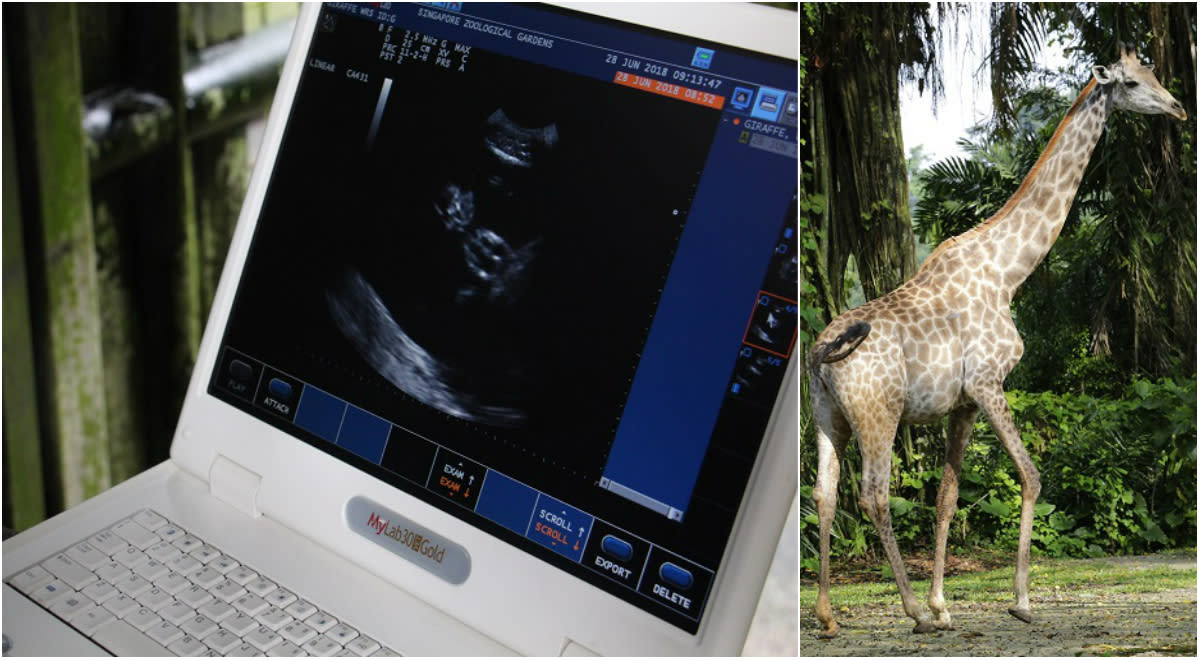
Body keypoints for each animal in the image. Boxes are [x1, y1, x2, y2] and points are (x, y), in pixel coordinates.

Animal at [811, 42, 1185, 643]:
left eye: (1151, 72)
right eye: (1130, 82)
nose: (1177, 107)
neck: (1009, 271)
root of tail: (821, 357)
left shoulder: (962, 403)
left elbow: (946, 499)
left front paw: (944, 605)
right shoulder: (990, 383)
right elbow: (1031, 476)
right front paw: (1020, 601)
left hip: (828, 416)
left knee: (825, 494)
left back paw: (828, 615)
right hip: (878, 413)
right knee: (873, 494)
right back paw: (911, 613)